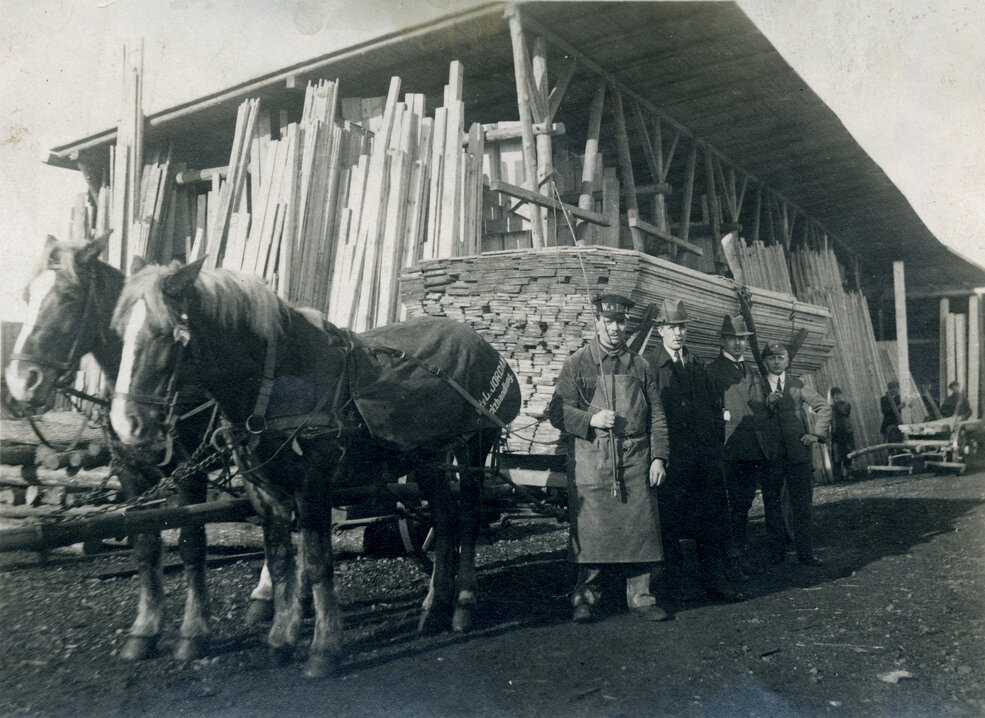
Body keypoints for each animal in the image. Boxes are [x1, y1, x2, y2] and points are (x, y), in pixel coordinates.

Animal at [110, 260, 520, 680]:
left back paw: (463, 603)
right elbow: (280, 562)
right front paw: (280, 639)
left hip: (476, 445)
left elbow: (318, 561)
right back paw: (435, 606)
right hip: (426, 458)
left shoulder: (313, 485)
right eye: (119, 334)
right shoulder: (265, 491)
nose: (126, 425)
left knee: (467, 518)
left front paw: (324, 648)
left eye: (167, 335)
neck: (277, 382)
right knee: (444, 517)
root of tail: (477, 338)